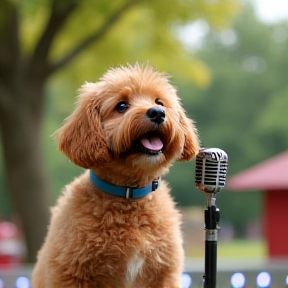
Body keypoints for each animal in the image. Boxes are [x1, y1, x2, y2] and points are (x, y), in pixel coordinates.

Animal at [31, 64, 198, 286]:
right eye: (121, 106)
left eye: (159, 102)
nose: (157, 113)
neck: (129, 196)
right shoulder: (71, 274)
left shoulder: (163, 275)